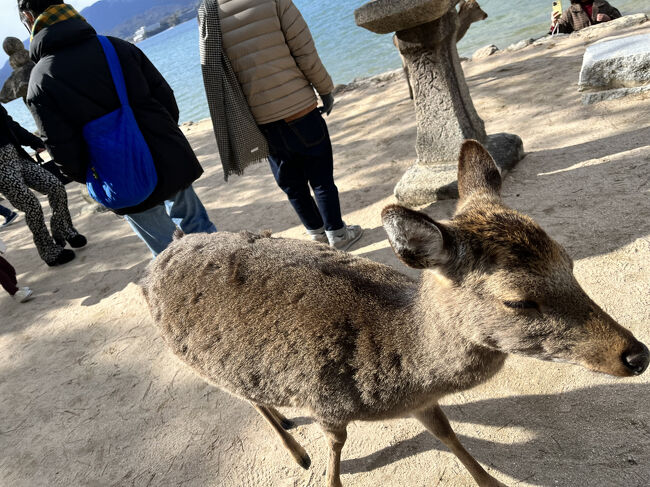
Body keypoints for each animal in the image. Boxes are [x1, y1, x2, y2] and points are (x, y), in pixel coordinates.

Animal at [141, 140, 649, 487]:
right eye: (518, 300)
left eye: (570, 260)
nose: (636, 355)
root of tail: (159, 259)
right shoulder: (326, 402)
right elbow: (336, 448)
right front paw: (325, 474)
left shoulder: (422, 403)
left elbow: (448, 434)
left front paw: (490, 482)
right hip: (200, 361)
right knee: (248, 398)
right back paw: (296, 451)